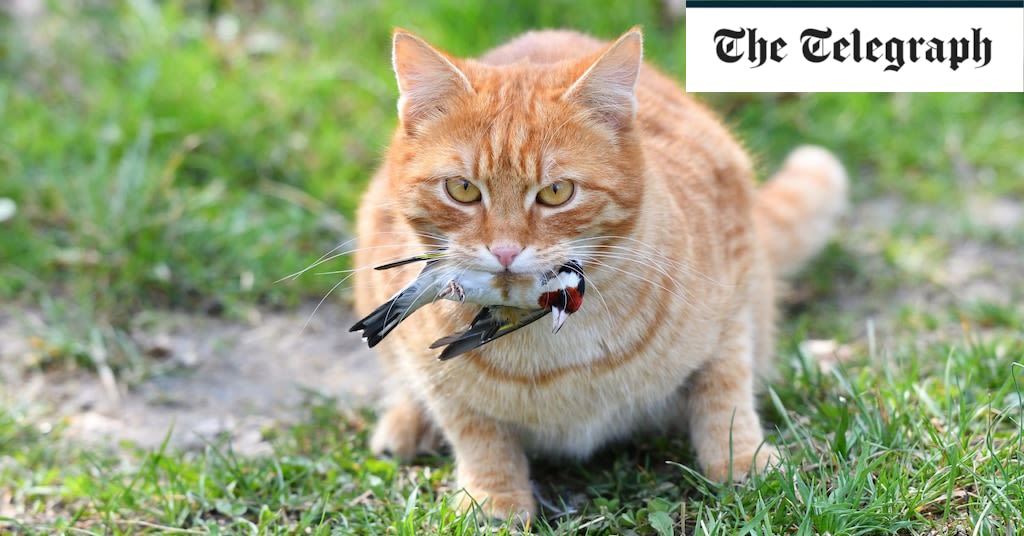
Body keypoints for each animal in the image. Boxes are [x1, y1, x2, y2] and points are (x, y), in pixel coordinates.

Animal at [352, 27, 847, 522]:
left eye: (556, 192)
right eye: (462, 190)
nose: (506, 250)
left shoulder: (733, 297)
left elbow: (725, 394)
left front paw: (743, 461)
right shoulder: (437, 376)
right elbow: (476, 433)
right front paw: (492, 499)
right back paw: (406, 423)